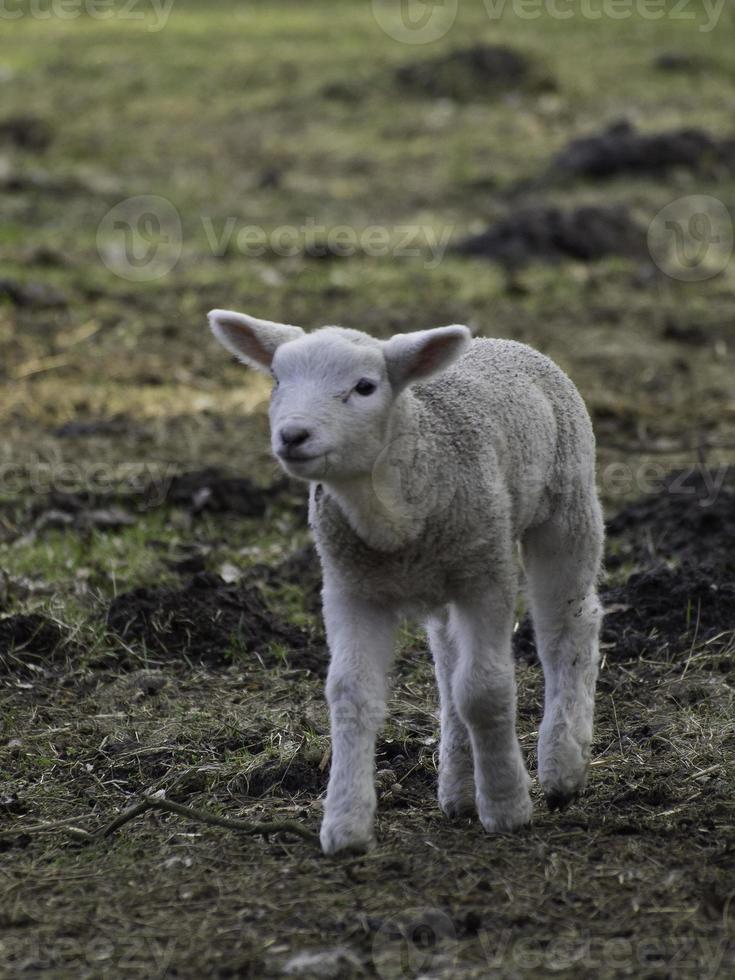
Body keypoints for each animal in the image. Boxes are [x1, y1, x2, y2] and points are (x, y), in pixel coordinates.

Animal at [207, 310, 604, 852]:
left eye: (365, 387)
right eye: (277, 381)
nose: (292, 435)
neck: (392, 516)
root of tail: (502, 342)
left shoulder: (486, 576)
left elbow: (484, 691)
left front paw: (507, 806)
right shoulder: (350, 588)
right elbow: (351, 693)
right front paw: (345, 824)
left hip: (566, 506)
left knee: (569, 626)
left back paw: (562, 765)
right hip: (448, 572)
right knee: (448, 664)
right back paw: (459, 786)